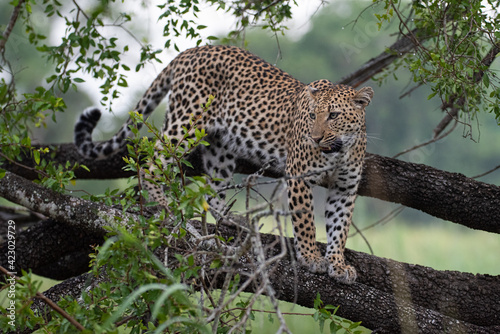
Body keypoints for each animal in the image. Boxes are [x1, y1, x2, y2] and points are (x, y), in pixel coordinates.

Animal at [73, 44, 372, 284]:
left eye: (333, 115)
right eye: (311, 116)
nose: (315, 137)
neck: (339, 149)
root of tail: (192, 51)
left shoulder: (344, 189)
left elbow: (339, 227)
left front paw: (338, 264)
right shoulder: (298, 176)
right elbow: (306, 221)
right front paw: (311, 258)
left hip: (220, 146)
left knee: (213, 186)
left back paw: (232, 218)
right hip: (186, 121)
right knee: (153, 160)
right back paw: (165, 205)